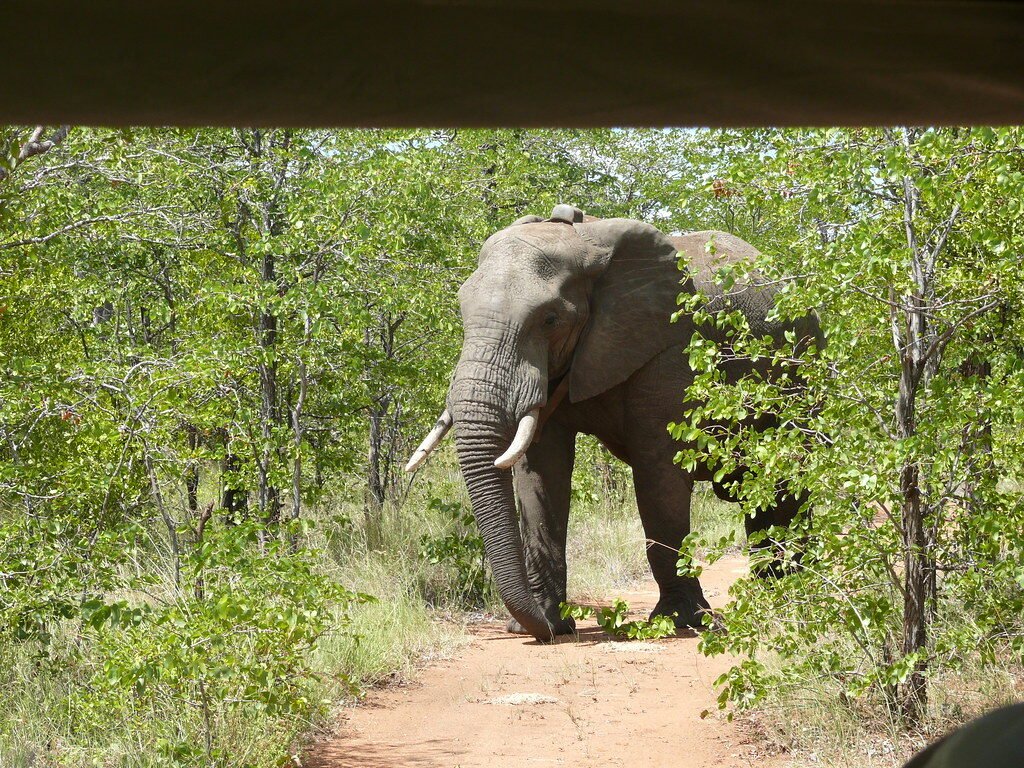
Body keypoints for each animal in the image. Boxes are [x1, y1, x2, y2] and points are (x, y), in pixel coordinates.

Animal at [406, 204, 820, 642]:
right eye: (462, 311)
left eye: (550, 319)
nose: (540, 629)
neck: (583, 243)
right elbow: (541, 473)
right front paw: (551, 625)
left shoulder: (669, 345)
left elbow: (659, 472)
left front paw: (681, 622)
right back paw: (772, 591)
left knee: (788, 483)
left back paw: (791, 593)